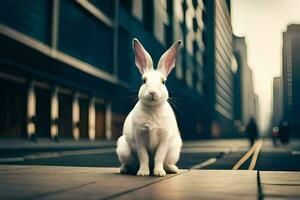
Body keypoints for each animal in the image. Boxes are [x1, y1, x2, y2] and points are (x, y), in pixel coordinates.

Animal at [116, 38, 183, 177]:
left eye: (163, 82)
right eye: (143, 81)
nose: (152, 92)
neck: (152, 109)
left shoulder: (164, 139)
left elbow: (159, 157)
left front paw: (158, 173)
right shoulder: (140, 138)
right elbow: (144, 157)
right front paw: (143, 173)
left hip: (174, 150)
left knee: (167, 162)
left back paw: (172, 169)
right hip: (123, 148)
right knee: (130, 164)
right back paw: (124, 169)